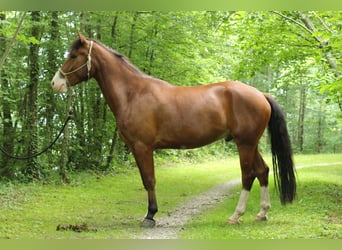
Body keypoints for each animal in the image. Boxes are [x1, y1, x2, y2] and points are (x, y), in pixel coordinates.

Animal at [51, 32, 296, 228]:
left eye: (74, 56)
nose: (55, 83)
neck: (133, 94)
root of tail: (261, 94)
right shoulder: (138, 148)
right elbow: (146, 180)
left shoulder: (143, 147)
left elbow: (149, 180)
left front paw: (150, 216)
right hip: (250, 144)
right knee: (263, 171)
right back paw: (261, 213)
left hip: (245, 144)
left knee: (248, 175)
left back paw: (236, 216)